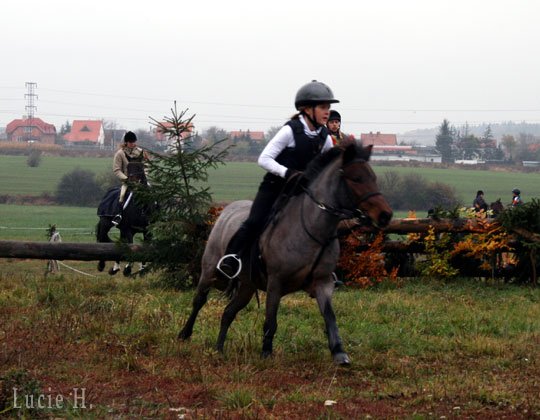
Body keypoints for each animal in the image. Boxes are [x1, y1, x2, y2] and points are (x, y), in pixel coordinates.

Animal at [179, 141, 394, 364]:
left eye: (373, 178)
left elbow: (330, 317)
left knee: (228, 312)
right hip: (211, 272)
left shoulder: (323, 282)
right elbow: (270, 321)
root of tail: (227, 209)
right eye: (357, 178)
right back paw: (185, 335)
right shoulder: (276, 282)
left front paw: (339, 352)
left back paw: (219, 349)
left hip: (247, 285)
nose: (385, 215)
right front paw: (266, 353)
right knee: (199, 300)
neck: (313, 229)